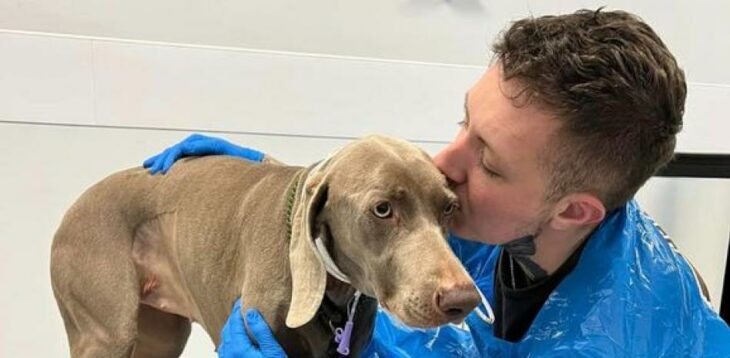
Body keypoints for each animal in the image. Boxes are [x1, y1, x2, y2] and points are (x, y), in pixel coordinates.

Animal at [52, 136, 484, 356]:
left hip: (158, 336)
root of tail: (73, 207)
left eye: (449, 207)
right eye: (382, 209)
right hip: (107, 329)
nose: (463, 299)